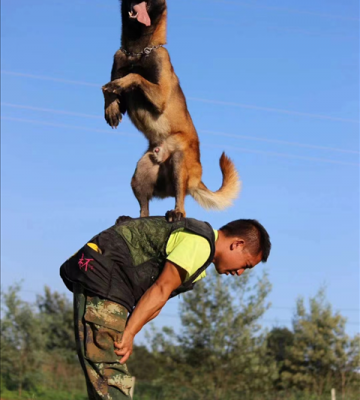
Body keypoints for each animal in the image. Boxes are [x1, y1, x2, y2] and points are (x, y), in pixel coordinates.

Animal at [102, 0, 240, 220]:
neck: (137, 51)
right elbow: (108, 89)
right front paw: (111, 109)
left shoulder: (159, 94)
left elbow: (134, 77)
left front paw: (120, 84)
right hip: (140, 174)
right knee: (144, 210)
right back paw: (131, 218)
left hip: (178, 162)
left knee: (180, 196)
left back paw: (176, 212)